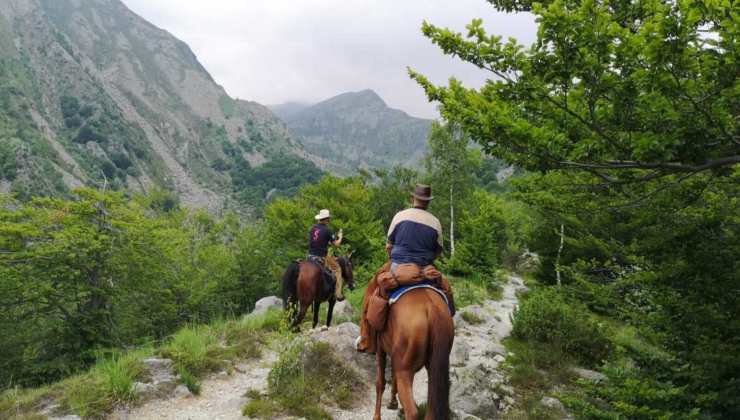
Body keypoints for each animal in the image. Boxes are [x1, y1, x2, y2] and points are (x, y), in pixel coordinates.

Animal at [370, 270, 456, 420]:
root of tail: (432, 309)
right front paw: (392, 403)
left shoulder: (381, 348)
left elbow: (380, 382)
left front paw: (377, 416)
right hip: (433, 369)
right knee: (431, 410)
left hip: (405, 370)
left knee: (412, 411)